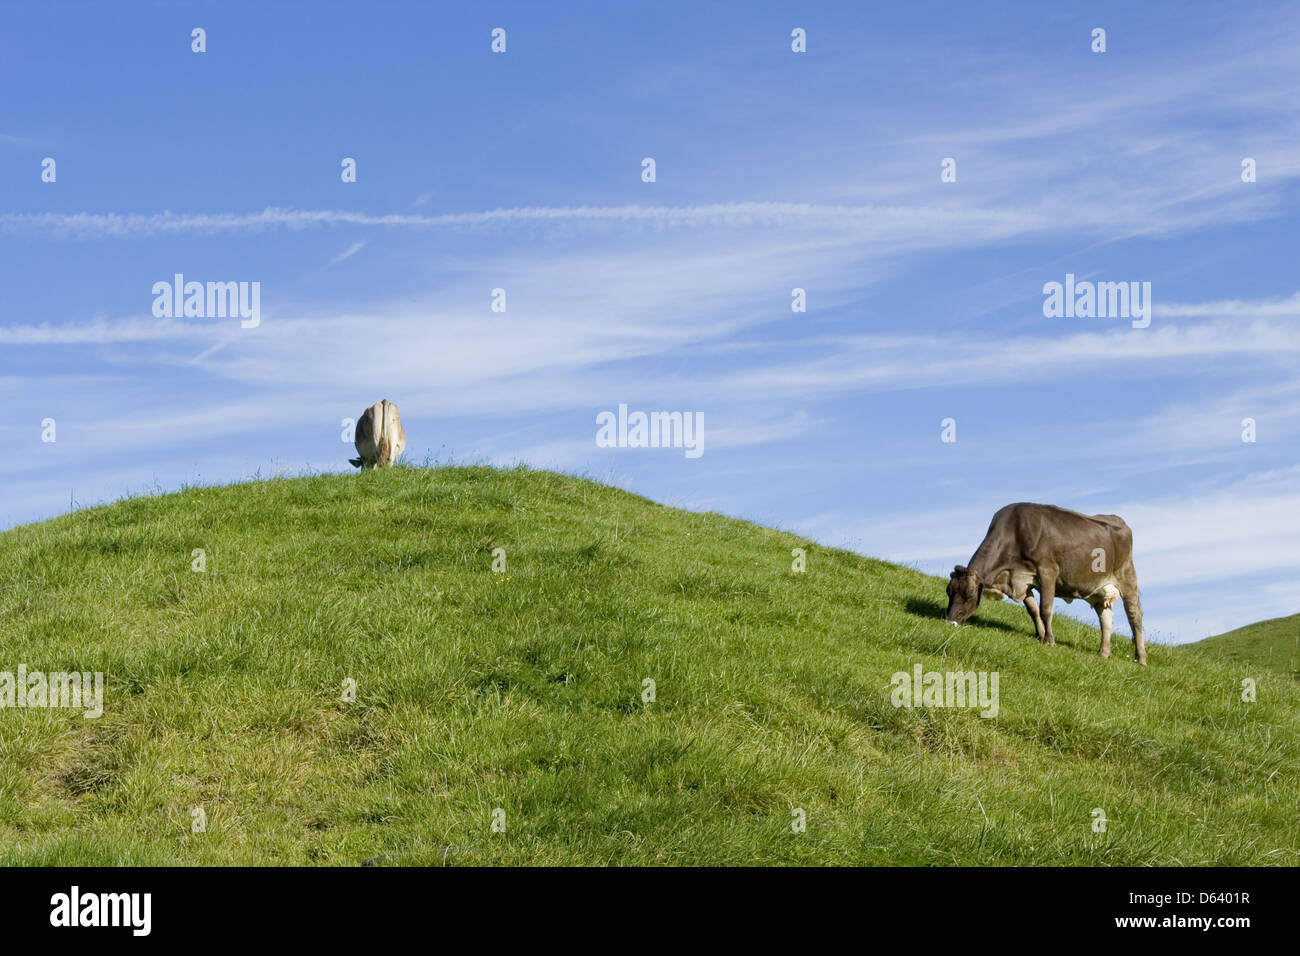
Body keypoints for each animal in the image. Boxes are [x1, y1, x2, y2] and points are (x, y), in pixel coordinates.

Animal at [945, 503, 1147, 665]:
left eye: (969, 595)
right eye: (949, 592)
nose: (950, 619)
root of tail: (1117, 520)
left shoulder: (1048, 572)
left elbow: (1045, 609)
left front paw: (1049, 640)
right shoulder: (1020, 581)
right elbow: (1033, 610)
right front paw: (1039, 635)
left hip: (1128, 578)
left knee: (1135, 616)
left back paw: (1141, 658)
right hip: (1098, 590)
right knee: (1106, 617)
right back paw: (1104, 652)